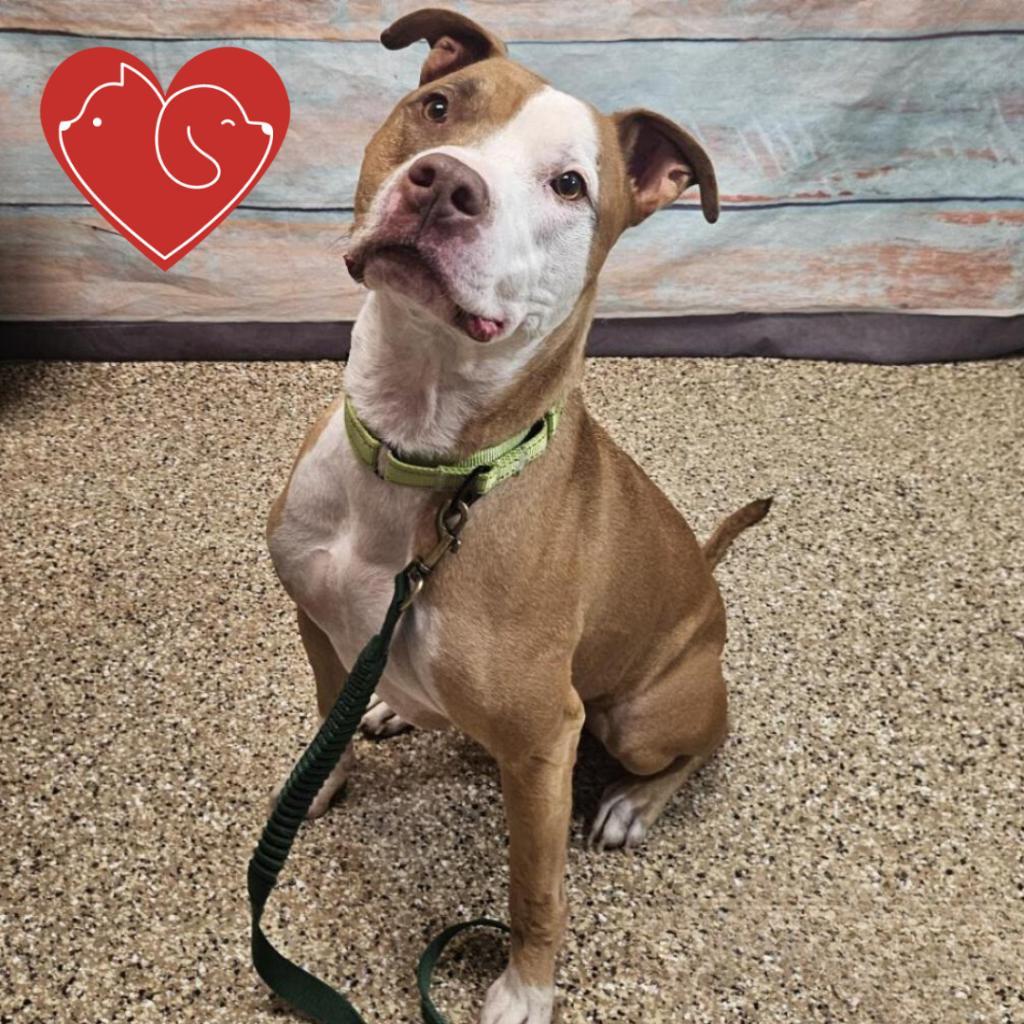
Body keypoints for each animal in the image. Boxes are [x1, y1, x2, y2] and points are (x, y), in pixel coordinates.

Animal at [268, 9, 770, 1024]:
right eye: (438, 107)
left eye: (569, 184)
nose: (446, 184)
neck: (421, 452)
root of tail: (707, 583)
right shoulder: (314, 617)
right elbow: (324, 708)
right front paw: (325, 773)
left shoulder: (543, 745)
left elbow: (534, 888)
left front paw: (524, 987)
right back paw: (391, 706)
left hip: (640, 714)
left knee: (707, 739)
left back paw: (633, 803)